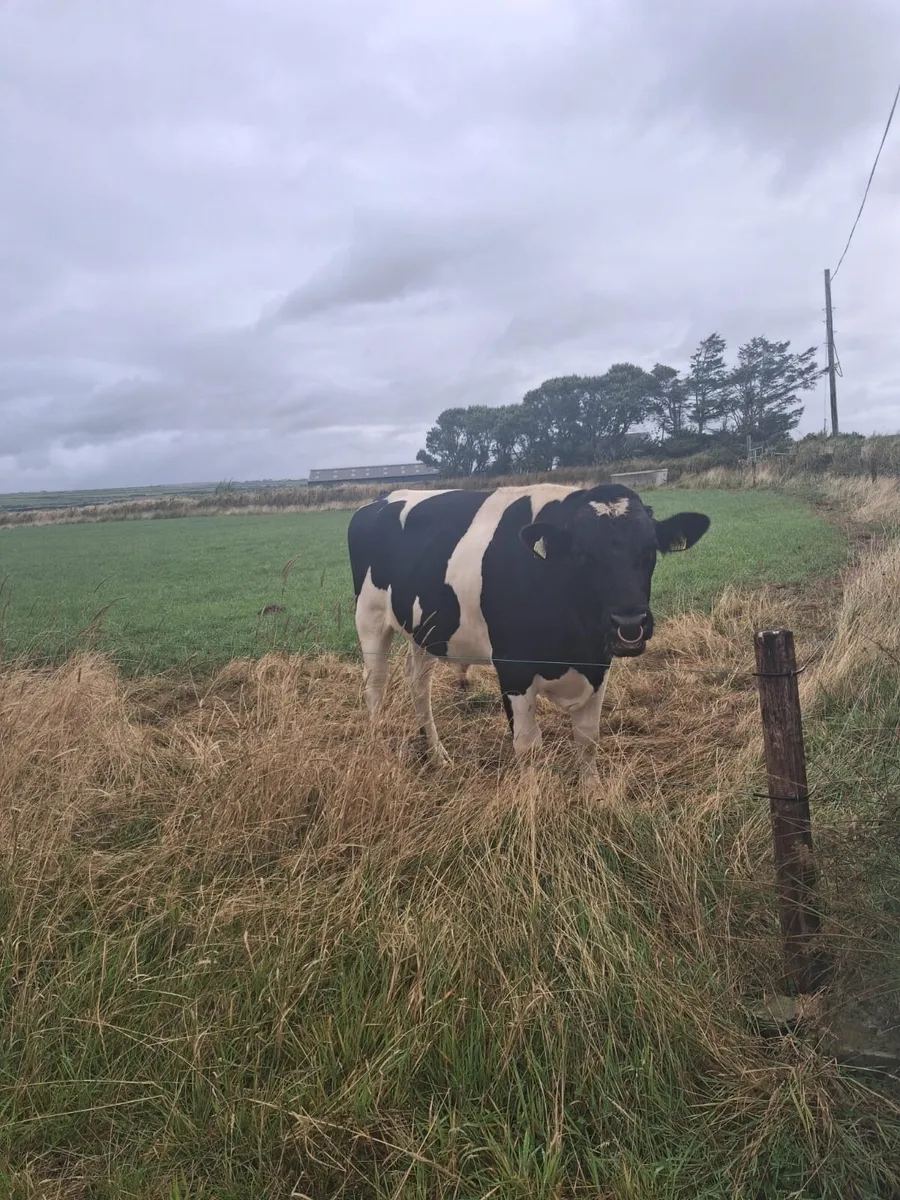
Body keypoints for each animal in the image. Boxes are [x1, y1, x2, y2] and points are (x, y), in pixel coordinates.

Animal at [347, 483, 710, 773]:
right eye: (581, 553)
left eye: (650, 550)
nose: (630, 624)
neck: (574, 651)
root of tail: (378, 500)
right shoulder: (513, 670)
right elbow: (528, 747)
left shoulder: (599, 665)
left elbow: (588, 740)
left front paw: (593, 798)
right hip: (370, 618)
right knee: (374, 686)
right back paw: (378, 753)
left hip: (424, 631)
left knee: (418, 686)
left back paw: (439, 757)